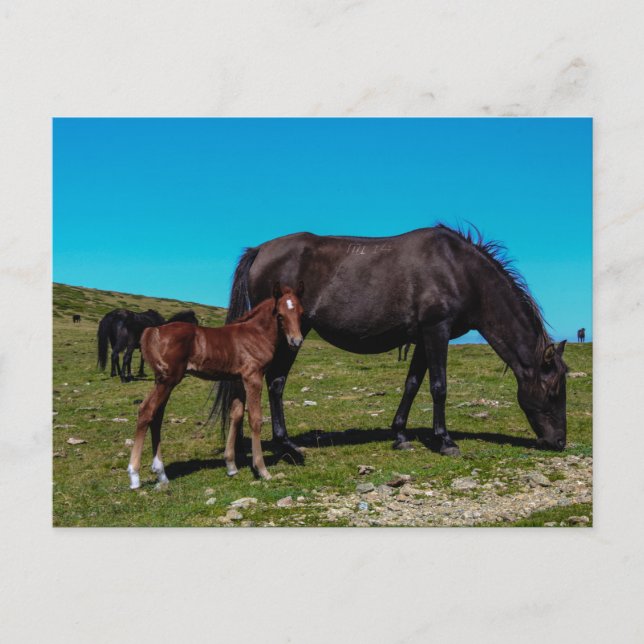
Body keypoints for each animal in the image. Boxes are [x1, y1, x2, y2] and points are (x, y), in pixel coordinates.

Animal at [126, 283, 304, 489]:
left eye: (301, 313)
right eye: (280, 315)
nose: (296, 341)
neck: (255, 334)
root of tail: (151, 331)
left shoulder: (237, 379)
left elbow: (236, 415)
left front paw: (231, 466)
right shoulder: (253, 377)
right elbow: (255, 419)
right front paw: (262, 470)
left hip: (162, 381)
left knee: (156, 416)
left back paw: (161, 474)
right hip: (168, 380)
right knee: (146, 411)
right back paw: (134, 475)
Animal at [213, 225, 568, 459]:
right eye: (553, 391)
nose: (559, 442)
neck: (460, 271)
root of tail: (260, 250)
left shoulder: (424, 337)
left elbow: (412, 384)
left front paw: (400, 434)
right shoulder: (436, 331)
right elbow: (439, 387)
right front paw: (445, 441)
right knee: (275, 383)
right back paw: (285, 445)